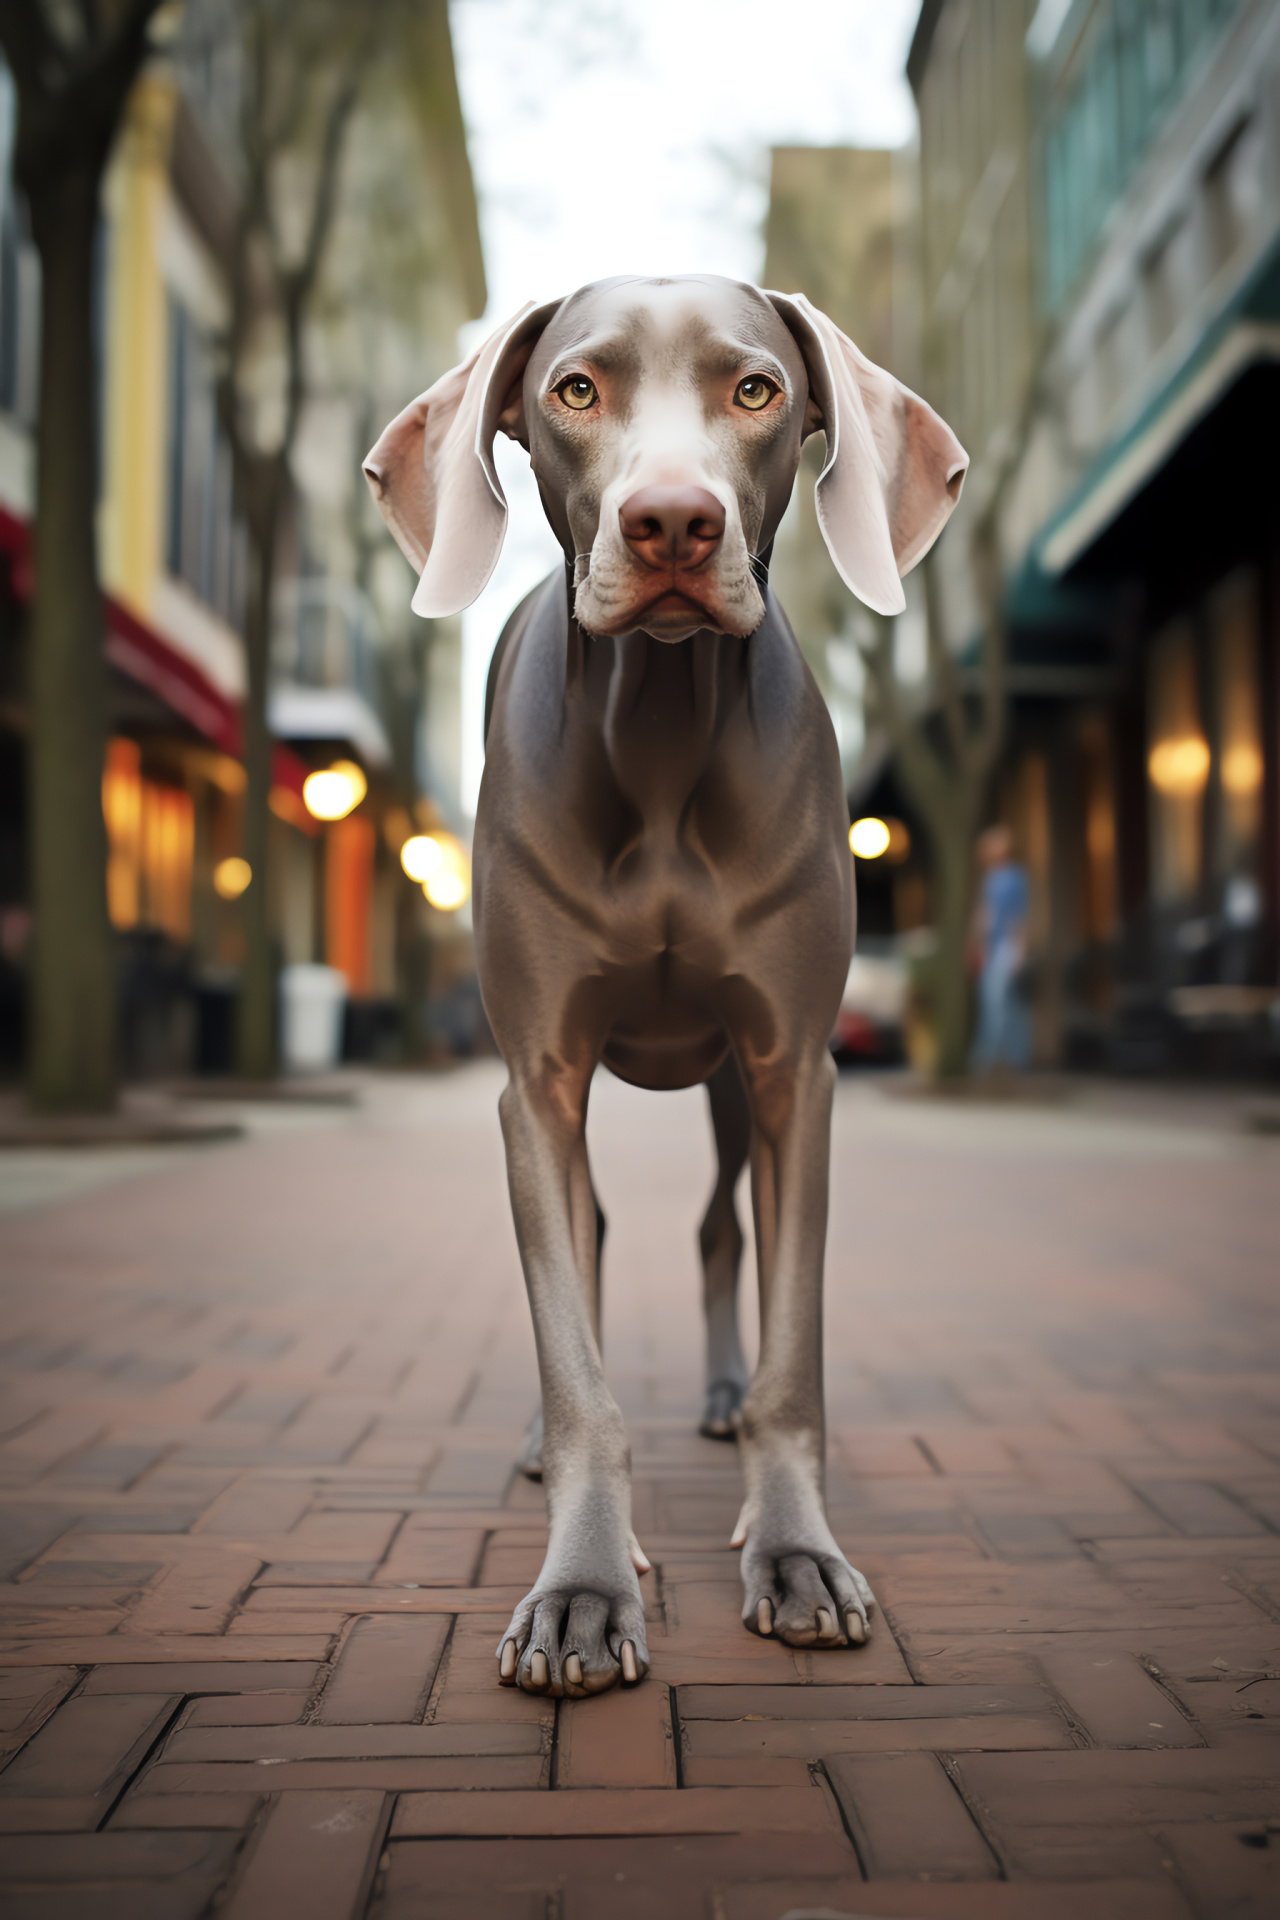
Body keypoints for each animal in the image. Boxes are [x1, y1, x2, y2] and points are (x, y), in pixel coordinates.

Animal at [364, 270, 967, 1697]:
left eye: (755, 389)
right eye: (575, 389)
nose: (673, 523)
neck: (658, 733)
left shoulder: (794, 1066)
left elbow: (793, 1353)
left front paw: (794, 1553)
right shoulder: (536, 1076)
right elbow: (573, 1348)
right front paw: (581, 1586)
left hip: (730, 1082)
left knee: (713, 1230)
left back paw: (718, 1402)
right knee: (581, 1238)